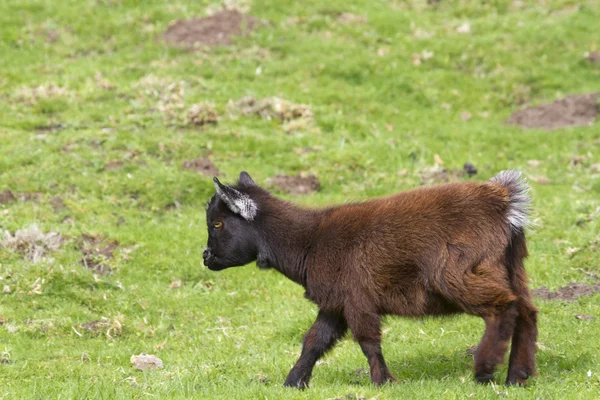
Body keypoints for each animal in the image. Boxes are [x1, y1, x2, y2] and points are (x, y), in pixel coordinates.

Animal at [203, 171, 540, 388]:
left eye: (217, 223)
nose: (205, 257)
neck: (310, 241)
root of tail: (504, 204)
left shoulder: (356, 298)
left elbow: (367, 340)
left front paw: (382, 382)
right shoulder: (335, 304)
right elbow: (314, 341)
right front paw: (293, 382)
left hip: (457, 273)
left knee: (503, 306)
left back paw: (485, 370)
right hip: (512, 268)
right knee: (526, 313)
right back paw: (517, 378)